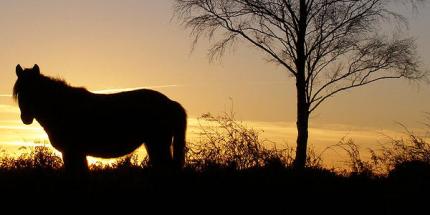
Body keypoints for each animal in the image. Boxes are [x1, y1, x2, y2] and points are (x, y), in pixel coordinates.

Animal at [13, 64, 186, 175]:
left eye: (34, 90)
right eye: (20, 92)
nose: (26, 118)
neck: (63, 106)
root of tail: (170, 102)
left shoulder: (72, 151)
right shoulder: (75, 153)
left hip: (158, 143)